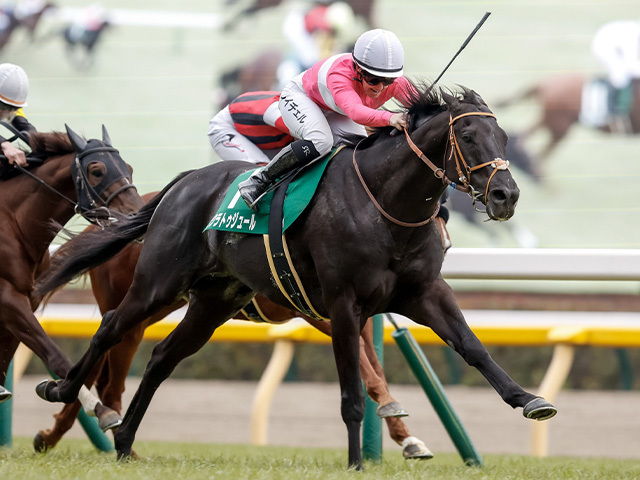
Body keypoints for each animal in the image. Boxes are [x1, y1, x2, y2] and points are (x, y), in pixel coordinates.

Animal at [0, 124, 144, 432]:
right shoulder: (7, 298)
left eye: (128, 168)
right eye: (97, 170)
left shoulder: (25, 300)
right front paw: (101, 410)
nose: (135, 217)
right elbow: (56, 356)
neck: (13, 222)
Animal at [33, 85, 556, 468]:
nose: (506, 195)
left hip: (214, 301)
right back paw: (63, 394)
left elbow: (472, 347)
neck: (386, 207)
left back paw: (123, 440)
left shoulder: (423, 292)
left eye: (502, 139)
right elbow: (355, 387)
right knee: (110, 331)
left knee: (161, 357)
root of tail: (180, 184)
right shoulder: (341, 304)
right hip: (158, 284)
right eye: (467, 137)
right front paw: (357, 463)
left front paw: (529, 400)